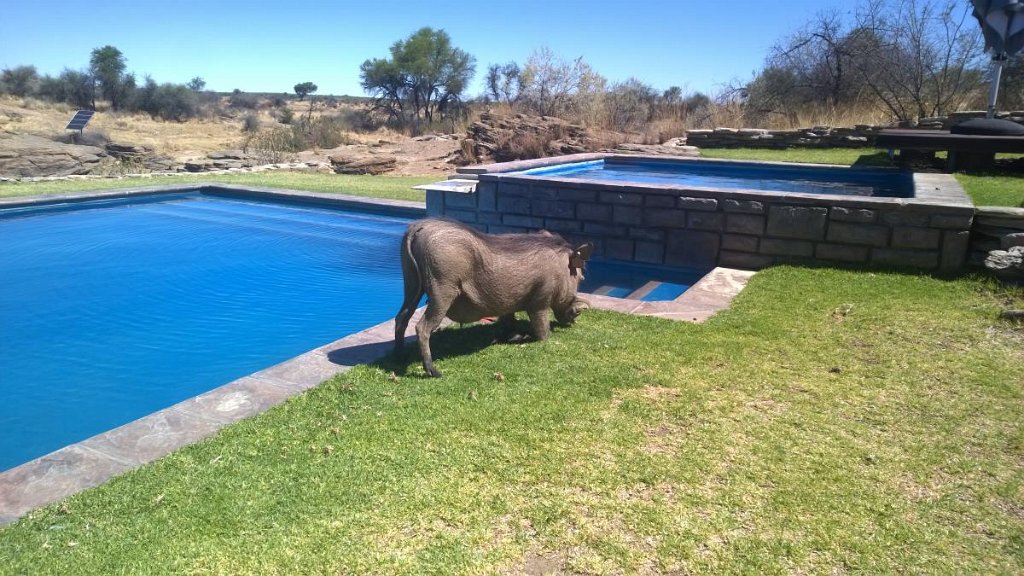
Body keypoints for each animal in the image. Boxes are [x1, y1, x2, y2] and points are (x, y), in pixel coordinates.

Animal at [393, 218, 593, 377]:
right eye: (580, 277)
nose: (574, 318)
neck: (561, 268)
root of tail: (419, 227)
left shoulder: (507, 304)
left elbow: (509, 321)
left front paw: (512, 337)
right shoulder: (540, 303)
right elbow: (542, 330)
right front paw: (539, 339)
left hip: (411, 284)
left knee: (401, 318)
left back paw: (400, 357)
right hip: (442, 293)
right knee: (422, 327)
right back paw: (433, 371)